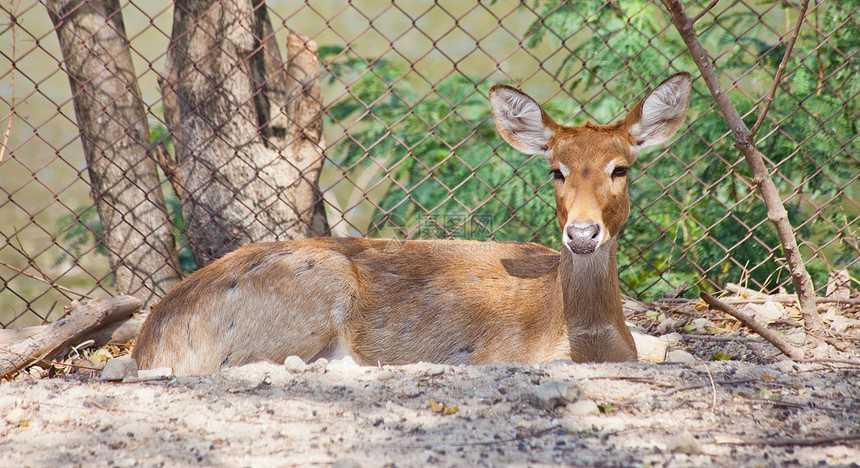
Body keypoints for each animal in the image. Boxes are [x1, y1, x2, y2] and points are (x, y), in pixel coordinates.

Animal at [136, 73, 700, 378]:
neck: (589, 342)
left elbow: (666, 345)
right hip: (313, 286)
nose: (581, 234)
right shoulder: (496, 352)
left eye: (620, 168)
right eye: (555, 170)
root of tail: (151, 338)